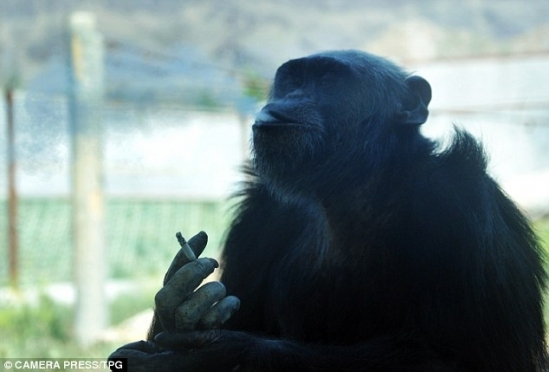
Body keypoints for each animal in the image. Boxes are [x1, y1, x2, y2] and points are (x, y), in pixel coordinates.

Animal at [109, 50, 544, 372]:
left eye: (329, 81)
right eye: (292, 79)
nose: (287, 99)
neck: (351, 189)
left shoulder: (464, 205)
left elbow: (458, 359)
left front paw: (214, 352)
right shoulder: (258, 217)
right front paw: (175, 304)